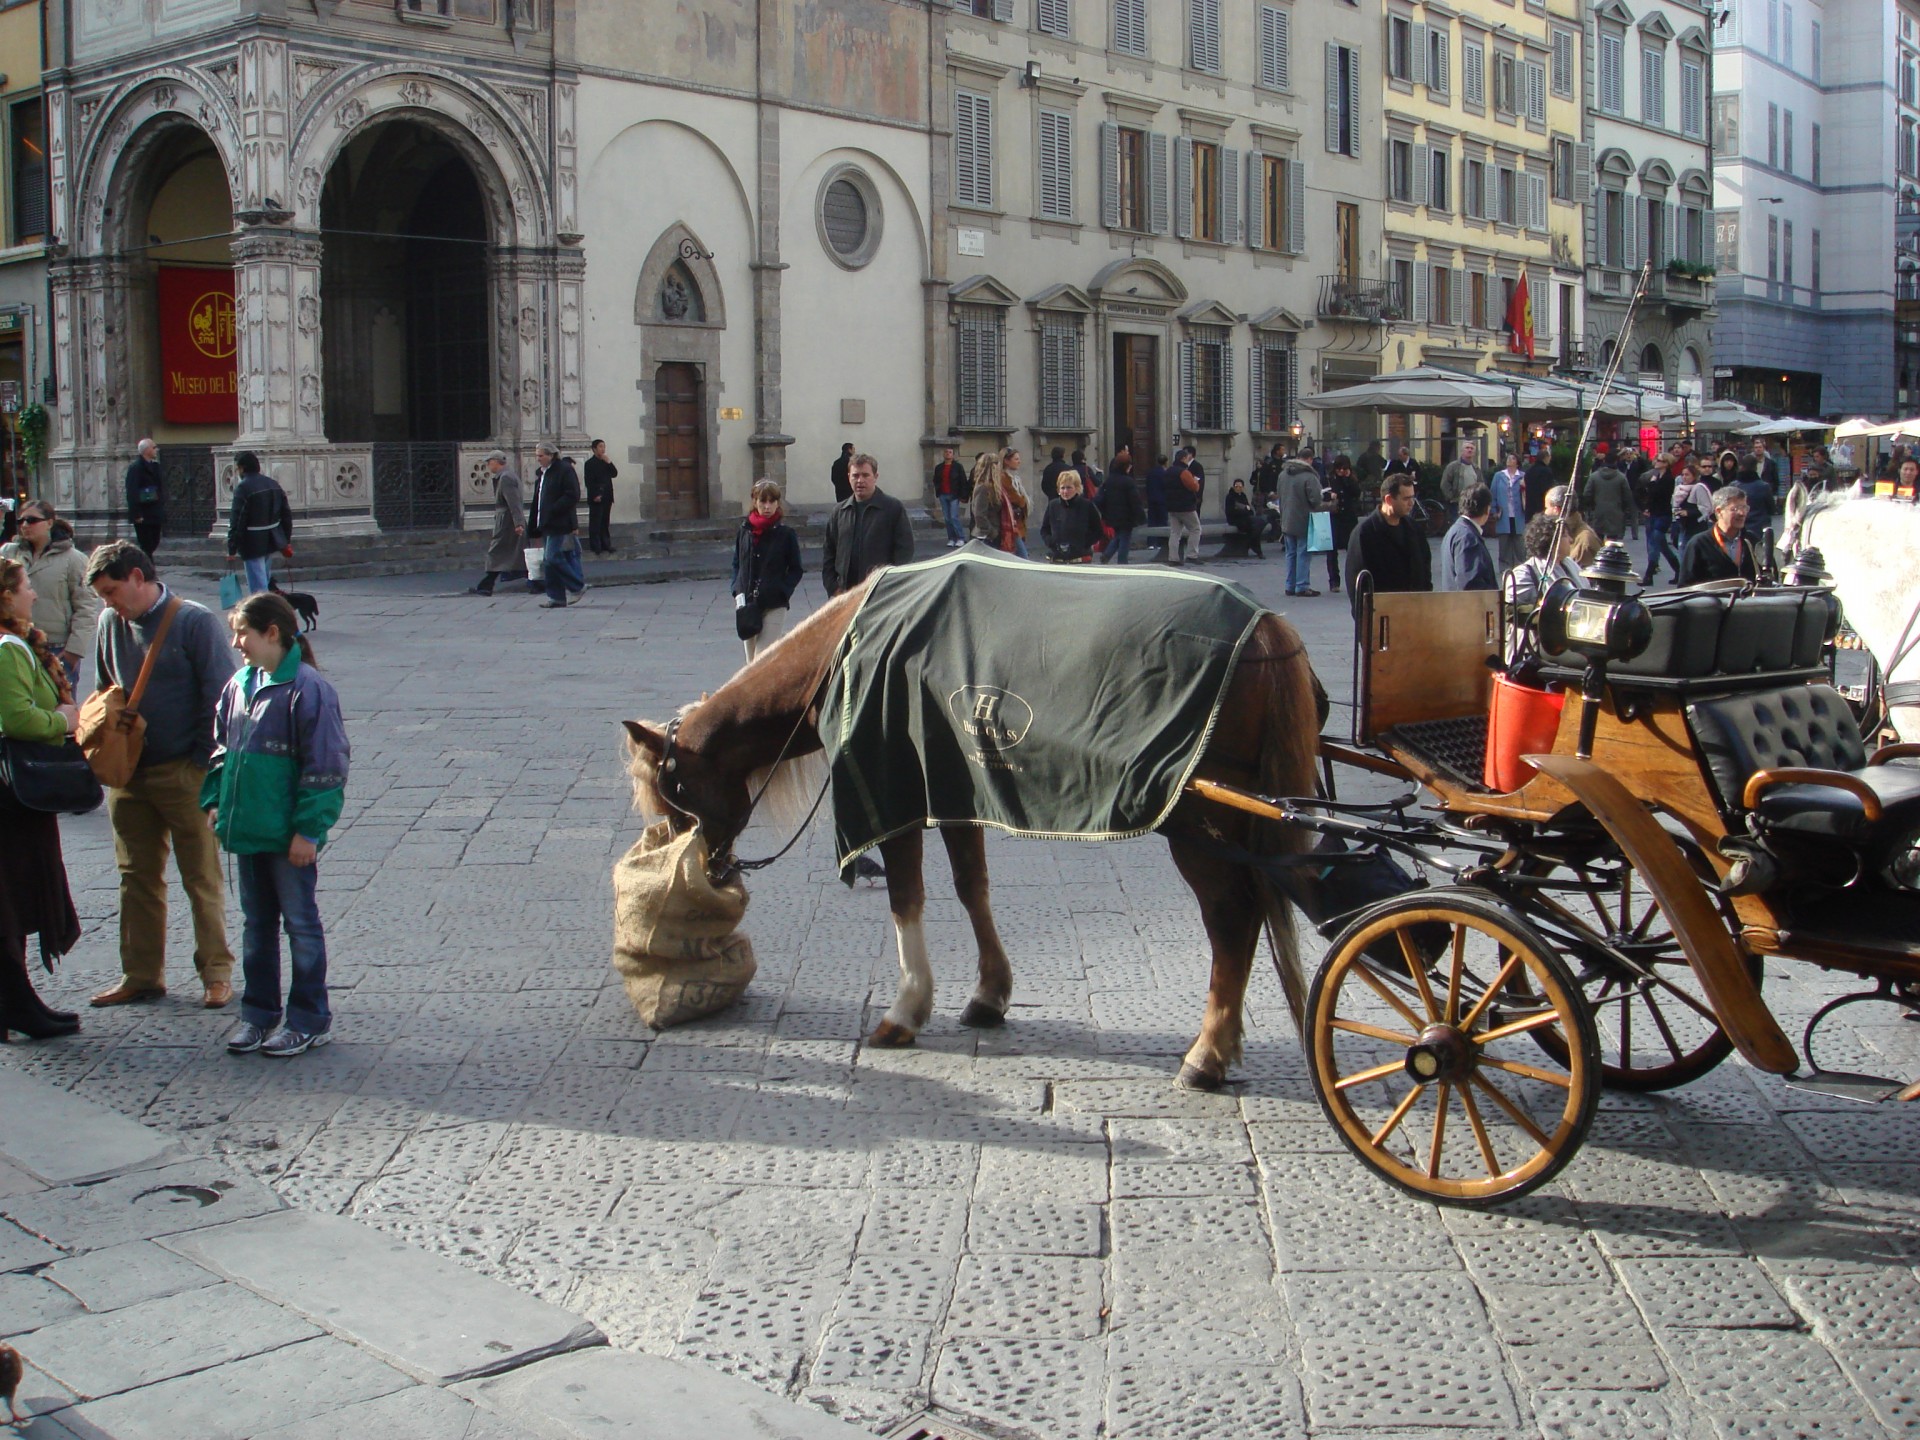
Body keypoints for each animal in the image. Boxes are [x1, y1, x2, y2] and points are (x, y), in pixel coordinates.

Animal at [622, 568, 1328, 1090]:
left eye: (674, 793)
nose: (708, 867)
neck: (846, 647)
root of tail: (1268, 630)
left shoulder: (892, 789)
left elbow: (907, 895)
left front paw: (907, 1008)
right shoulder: (956, 787)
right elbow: (971, 886)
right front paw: (990, 993)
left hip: (1201, 827)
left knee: (1231, 920)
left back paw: (1206, 1054)